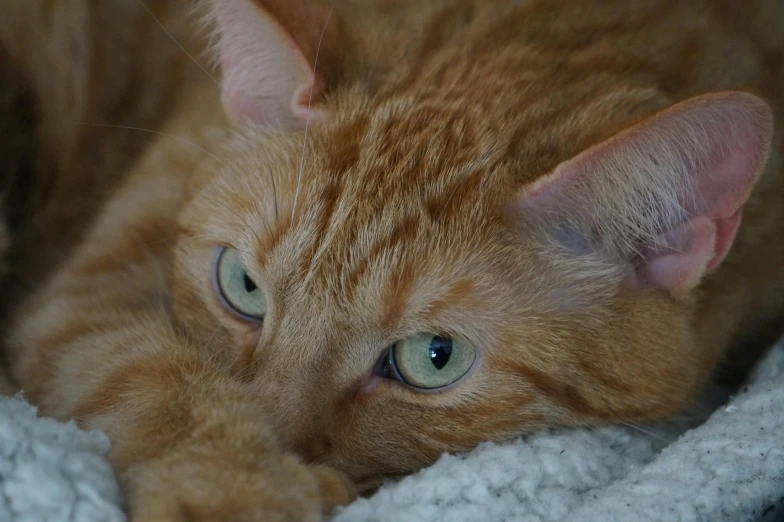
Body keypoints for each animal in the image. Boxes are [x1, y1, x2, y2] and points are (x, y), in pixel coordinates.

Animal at [1, 0, 784, 516]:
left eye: (433, 358)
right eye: (243, 286)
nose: (275, 432)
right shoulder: (91, 294)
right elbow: (156, 378)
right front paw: (238, 489)